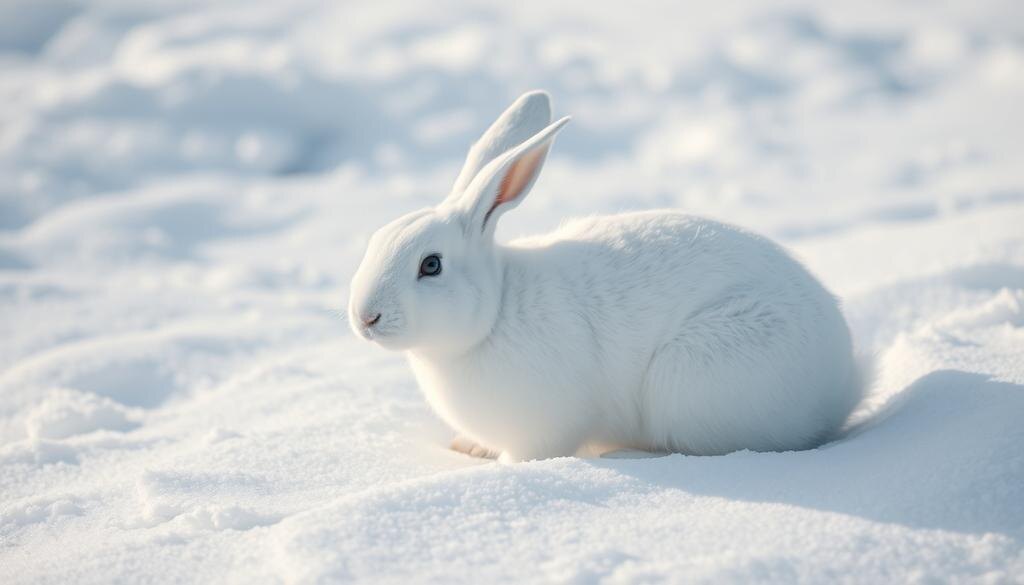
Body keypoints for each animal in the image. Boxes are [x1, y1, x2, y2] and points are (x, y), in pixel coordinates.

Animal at [348, 90, 864, 462]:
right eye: (375, 241)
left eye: (430, 265)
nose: (364, 318)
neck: (494, 314)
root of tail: (843, 382)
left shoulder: (544, 426)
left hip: (692, 379)